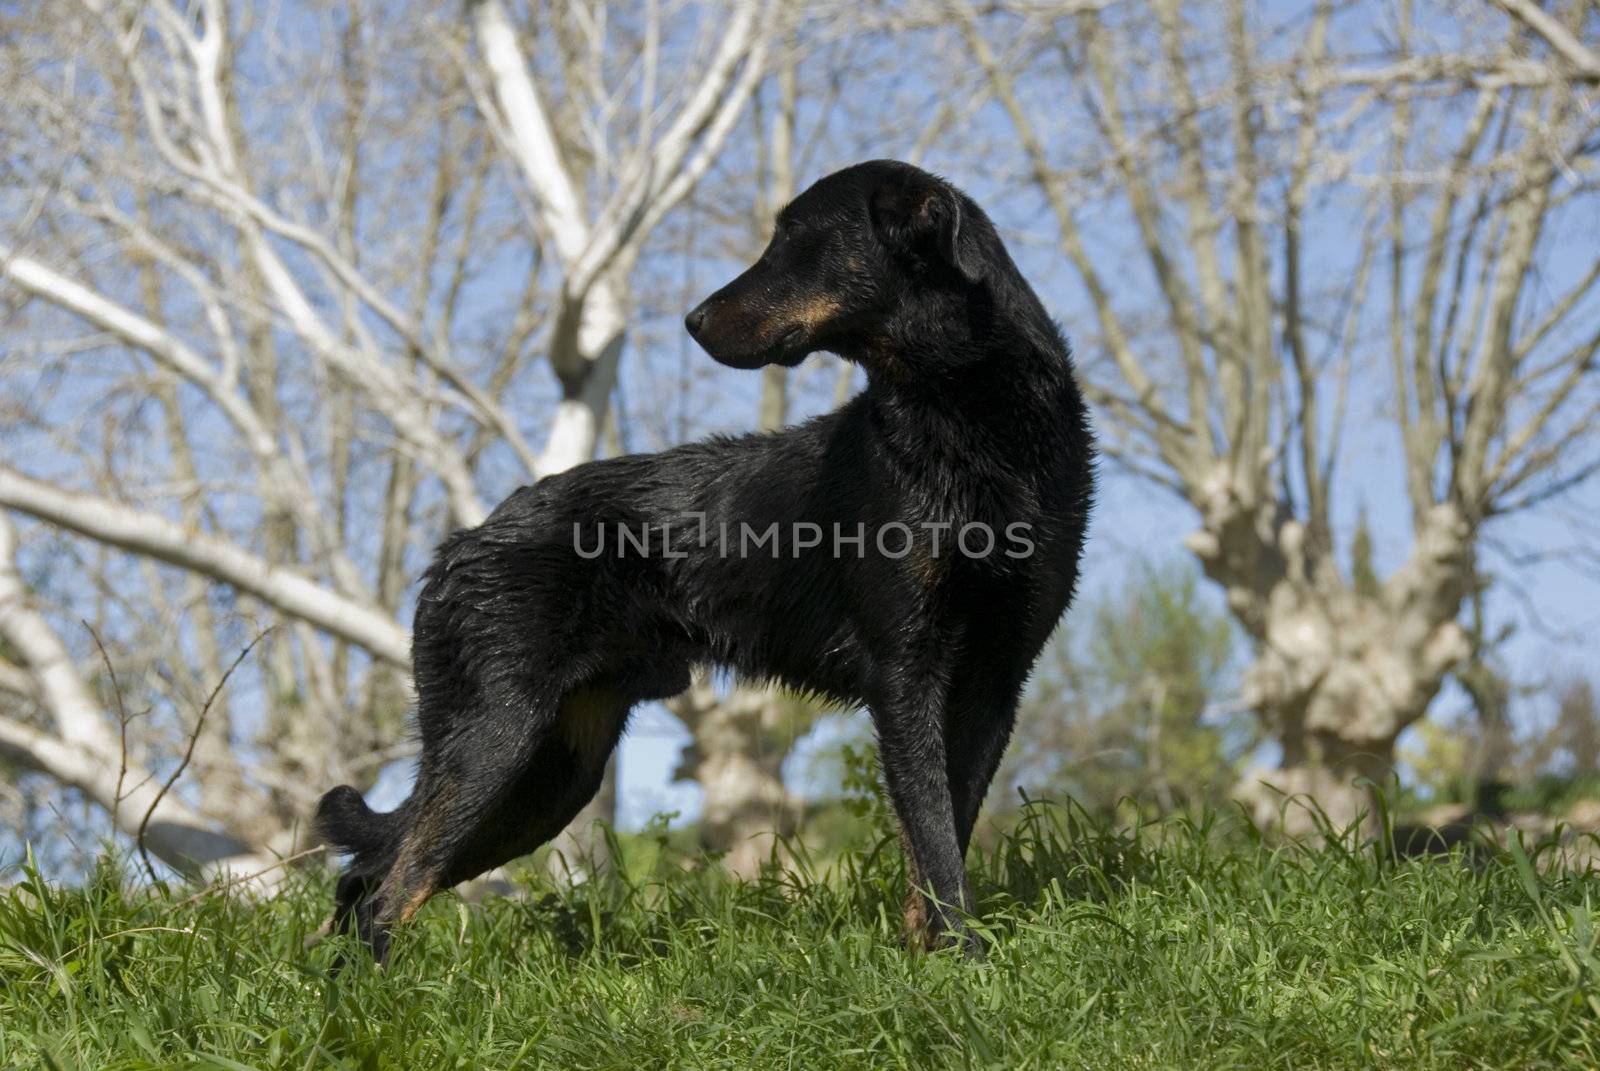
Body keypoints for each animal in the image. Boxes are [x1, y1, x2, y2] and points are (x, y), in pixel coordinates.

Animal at [315, 158, 1088, 960]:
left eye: (794, 239)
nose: (691, 320)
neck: (970, 423)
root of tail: (462, 541)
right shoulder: (908, 676)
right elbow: (935, 842)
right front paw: (964, 964)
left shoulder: (995, 680)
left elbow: (942, 838)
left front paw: (932, 957)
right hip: (497, 745)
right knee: (392, 886)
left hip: (548, 778)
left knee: (372, 874)